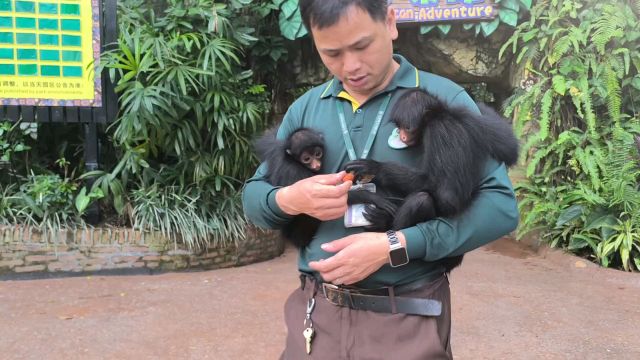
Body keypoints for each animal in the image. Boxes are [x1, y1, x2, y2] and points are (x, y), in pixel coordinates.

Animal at [344, 88, 520, 272]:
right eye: (399, 126)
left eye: (407, 128)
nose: (402, 136)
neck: (442, 114)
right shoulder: (469, 118)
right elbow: (510, 147)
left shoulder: (439, 131)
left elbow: (446, 195)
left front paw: (376, 168)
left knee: (422, 200)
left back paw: (386, 223)